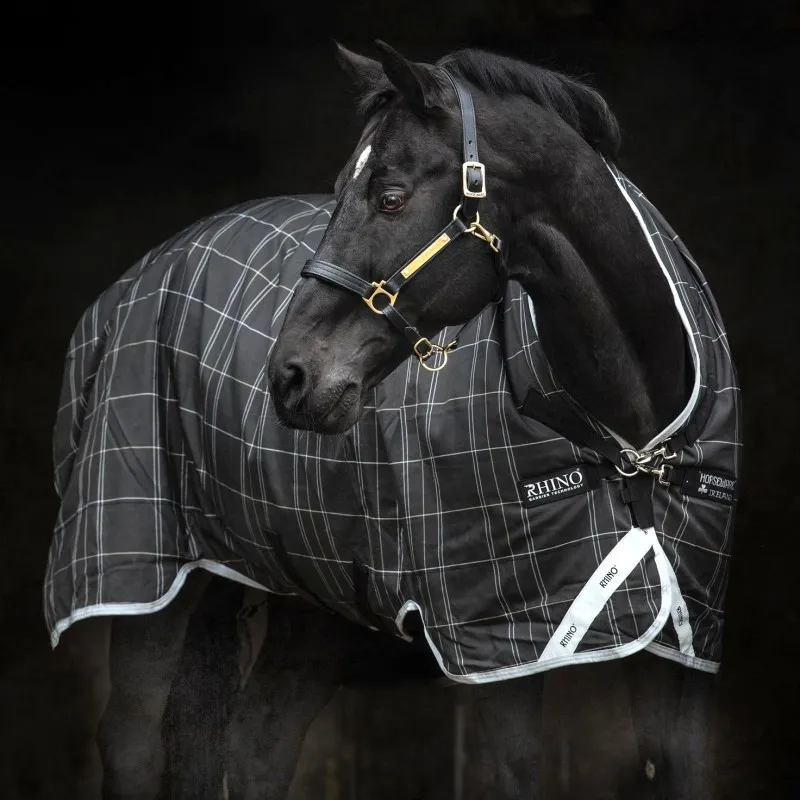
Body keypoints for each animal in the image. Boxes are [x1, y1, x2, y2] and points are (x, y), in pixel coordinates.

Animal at [47, 42, 741, 799]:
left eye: (389, 196)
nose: (290, 377)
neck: (629, 445)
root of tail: (147, 270)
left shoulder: (685, 648)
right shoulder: (501, 648)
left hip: (315, 595)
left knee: (258, 745)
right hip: (151, 574)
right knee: (133, 742)